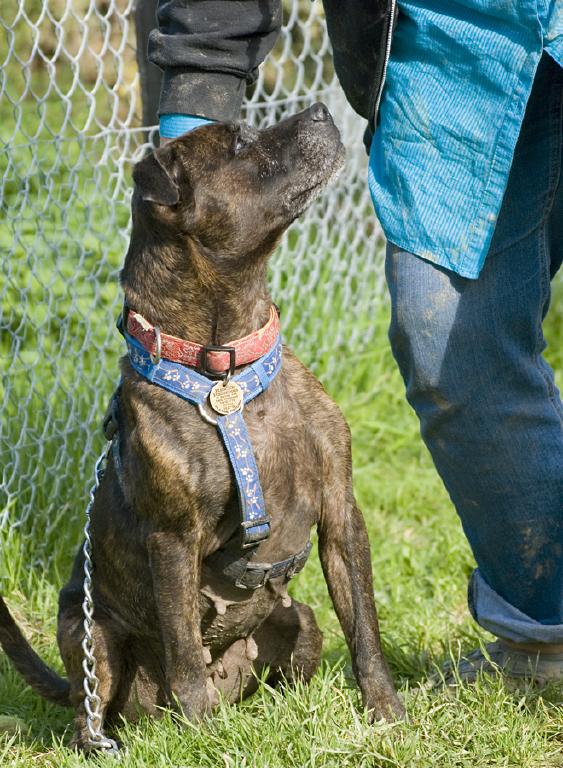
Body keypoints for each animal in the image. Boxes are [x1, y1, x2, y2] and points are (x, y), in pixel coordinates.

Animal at [0, 105, 406, 748]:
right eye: (240, 142)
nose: (320, 110)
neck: (226, 366)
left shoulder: (342, 514)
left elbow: (365, 629)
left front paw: (386, 713)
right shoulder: (172, 541)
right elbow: (185, 648)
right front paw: (200, 733)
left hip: (301, 621)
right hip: (90, 635)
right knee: (90, 708)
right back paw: (112, 739)